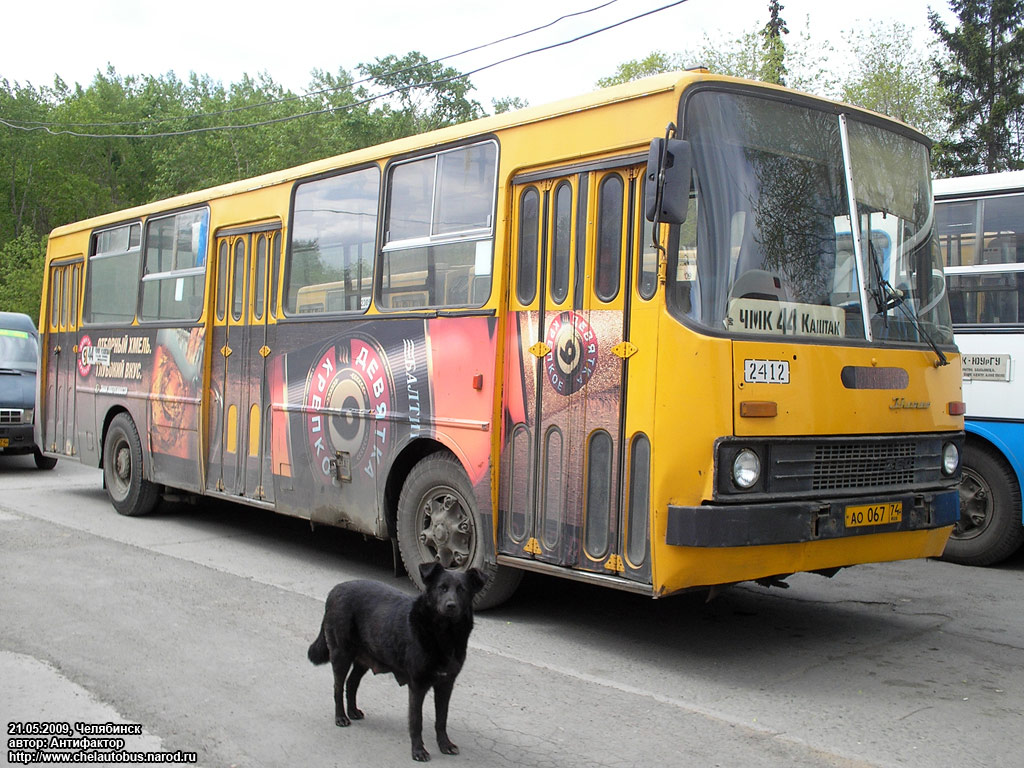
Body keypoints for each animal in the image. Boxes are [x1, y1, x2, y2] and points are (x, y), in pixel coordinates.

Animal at [305, 565, 485, 765]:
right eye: (442, 588)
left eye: (462, 590)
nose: (450, 605)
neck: (445, 635)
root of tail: (335, 590)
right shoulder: (417, 686)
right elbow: (416, 721)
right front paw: (418, 751)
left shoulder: (446, 685)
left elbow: (441, 719)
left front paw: (445, 745)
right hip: (341, 655)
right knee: (338, 687)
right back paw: (341, 717)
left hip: (364, 659)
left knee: (351, 683)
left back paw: (352, 711)